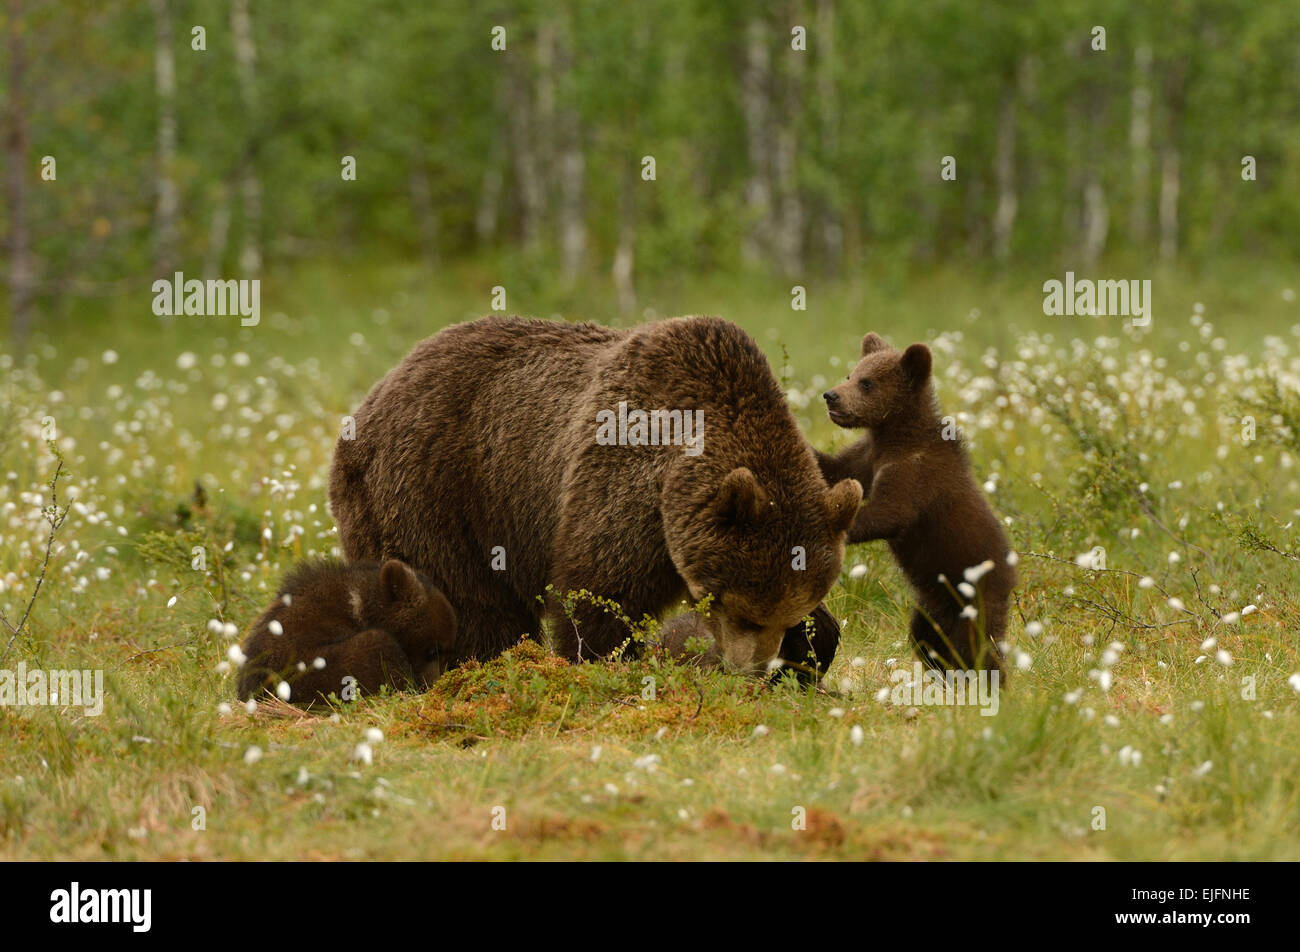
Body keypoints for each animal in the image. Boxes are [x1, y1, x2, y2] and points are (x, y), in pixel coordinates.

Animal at [329, 315, 862, 676]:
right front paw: (604, 662)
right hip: (436, 490)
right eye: (742, 612)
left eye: (777, 616)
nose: (747, 669)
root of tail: (375, 395)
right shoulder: (622, 480)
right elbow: (599, 590)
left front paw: (815, 645)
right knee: (468, 599)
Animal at [817, 332, 1016, 672]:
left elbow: (889, 513)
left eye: (867, 383)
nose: (832, 396)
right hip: (931, 606)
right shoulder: (867, 457)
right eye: (850, 375)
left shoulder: (915, 474)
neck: (895, 436)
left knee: (978, 648)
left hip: (975, 594)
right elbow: (833, 467)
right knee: (927, 640)